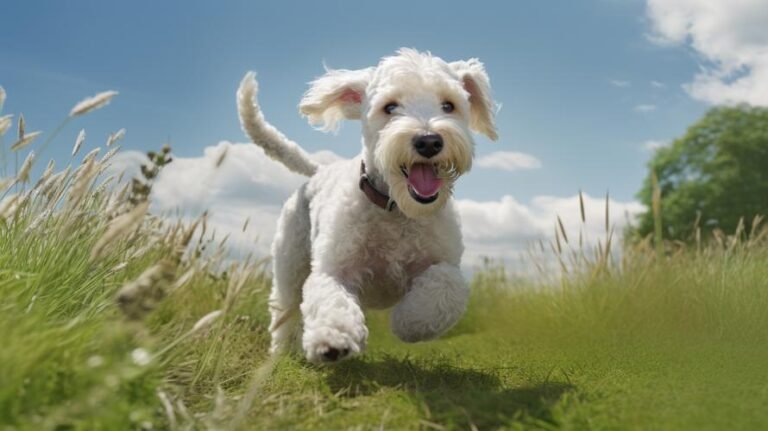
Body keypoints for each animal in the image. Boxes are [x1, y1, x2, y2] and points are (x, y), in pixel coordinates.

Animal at [236, 48, 498, 364]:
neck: (396, 210)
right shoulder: (334, 270)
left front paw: (409, 321)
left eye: (449, 105)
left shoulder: (445, 263)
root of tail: (319, 170)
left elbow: (445, 285)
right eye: (390, 107)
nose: (428, 141)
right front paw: (332, 339)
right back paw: (282, 352)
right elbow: (330, 300)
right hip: (290, 263)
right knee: (284, 309)